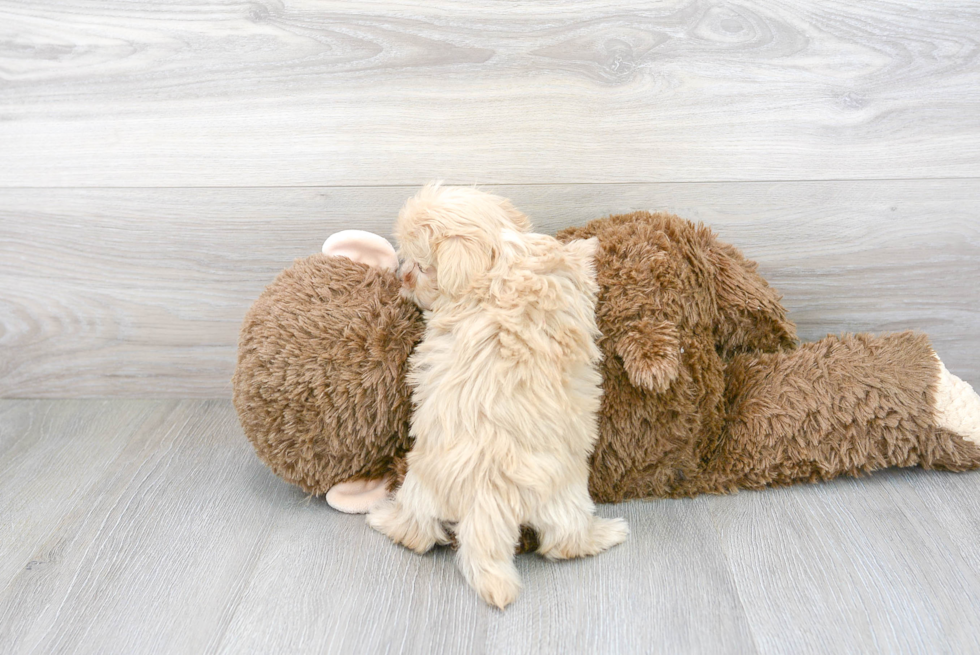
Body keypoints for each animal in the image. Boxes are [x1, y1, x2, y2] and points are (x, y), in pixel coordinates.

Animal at [368, 184, 628, 608]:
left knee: (418, 532)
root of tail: (486, 495)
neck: (499, 258)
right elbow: (572, 258)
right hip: (564, 494)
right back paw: (608, 533)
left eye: (420, 266)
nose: (400, 275)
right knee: (563, 542)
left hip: (431, 487)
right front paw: (588, 245)